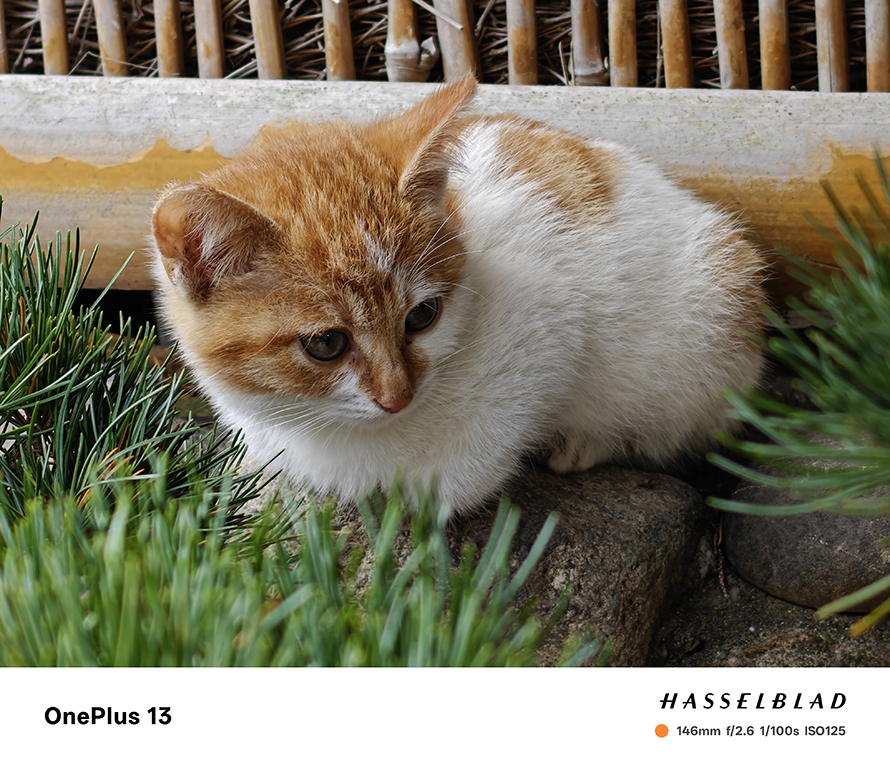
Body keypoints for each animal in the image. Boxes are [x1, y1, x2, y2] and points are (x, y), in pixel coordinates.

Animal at [151, 79, 764, 512]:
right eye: (325, 344)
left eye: (423, 315)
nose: (398, 397)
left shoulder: (546, 320)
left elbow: (497, 428)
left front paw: (431, 495)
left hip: (707, 330)